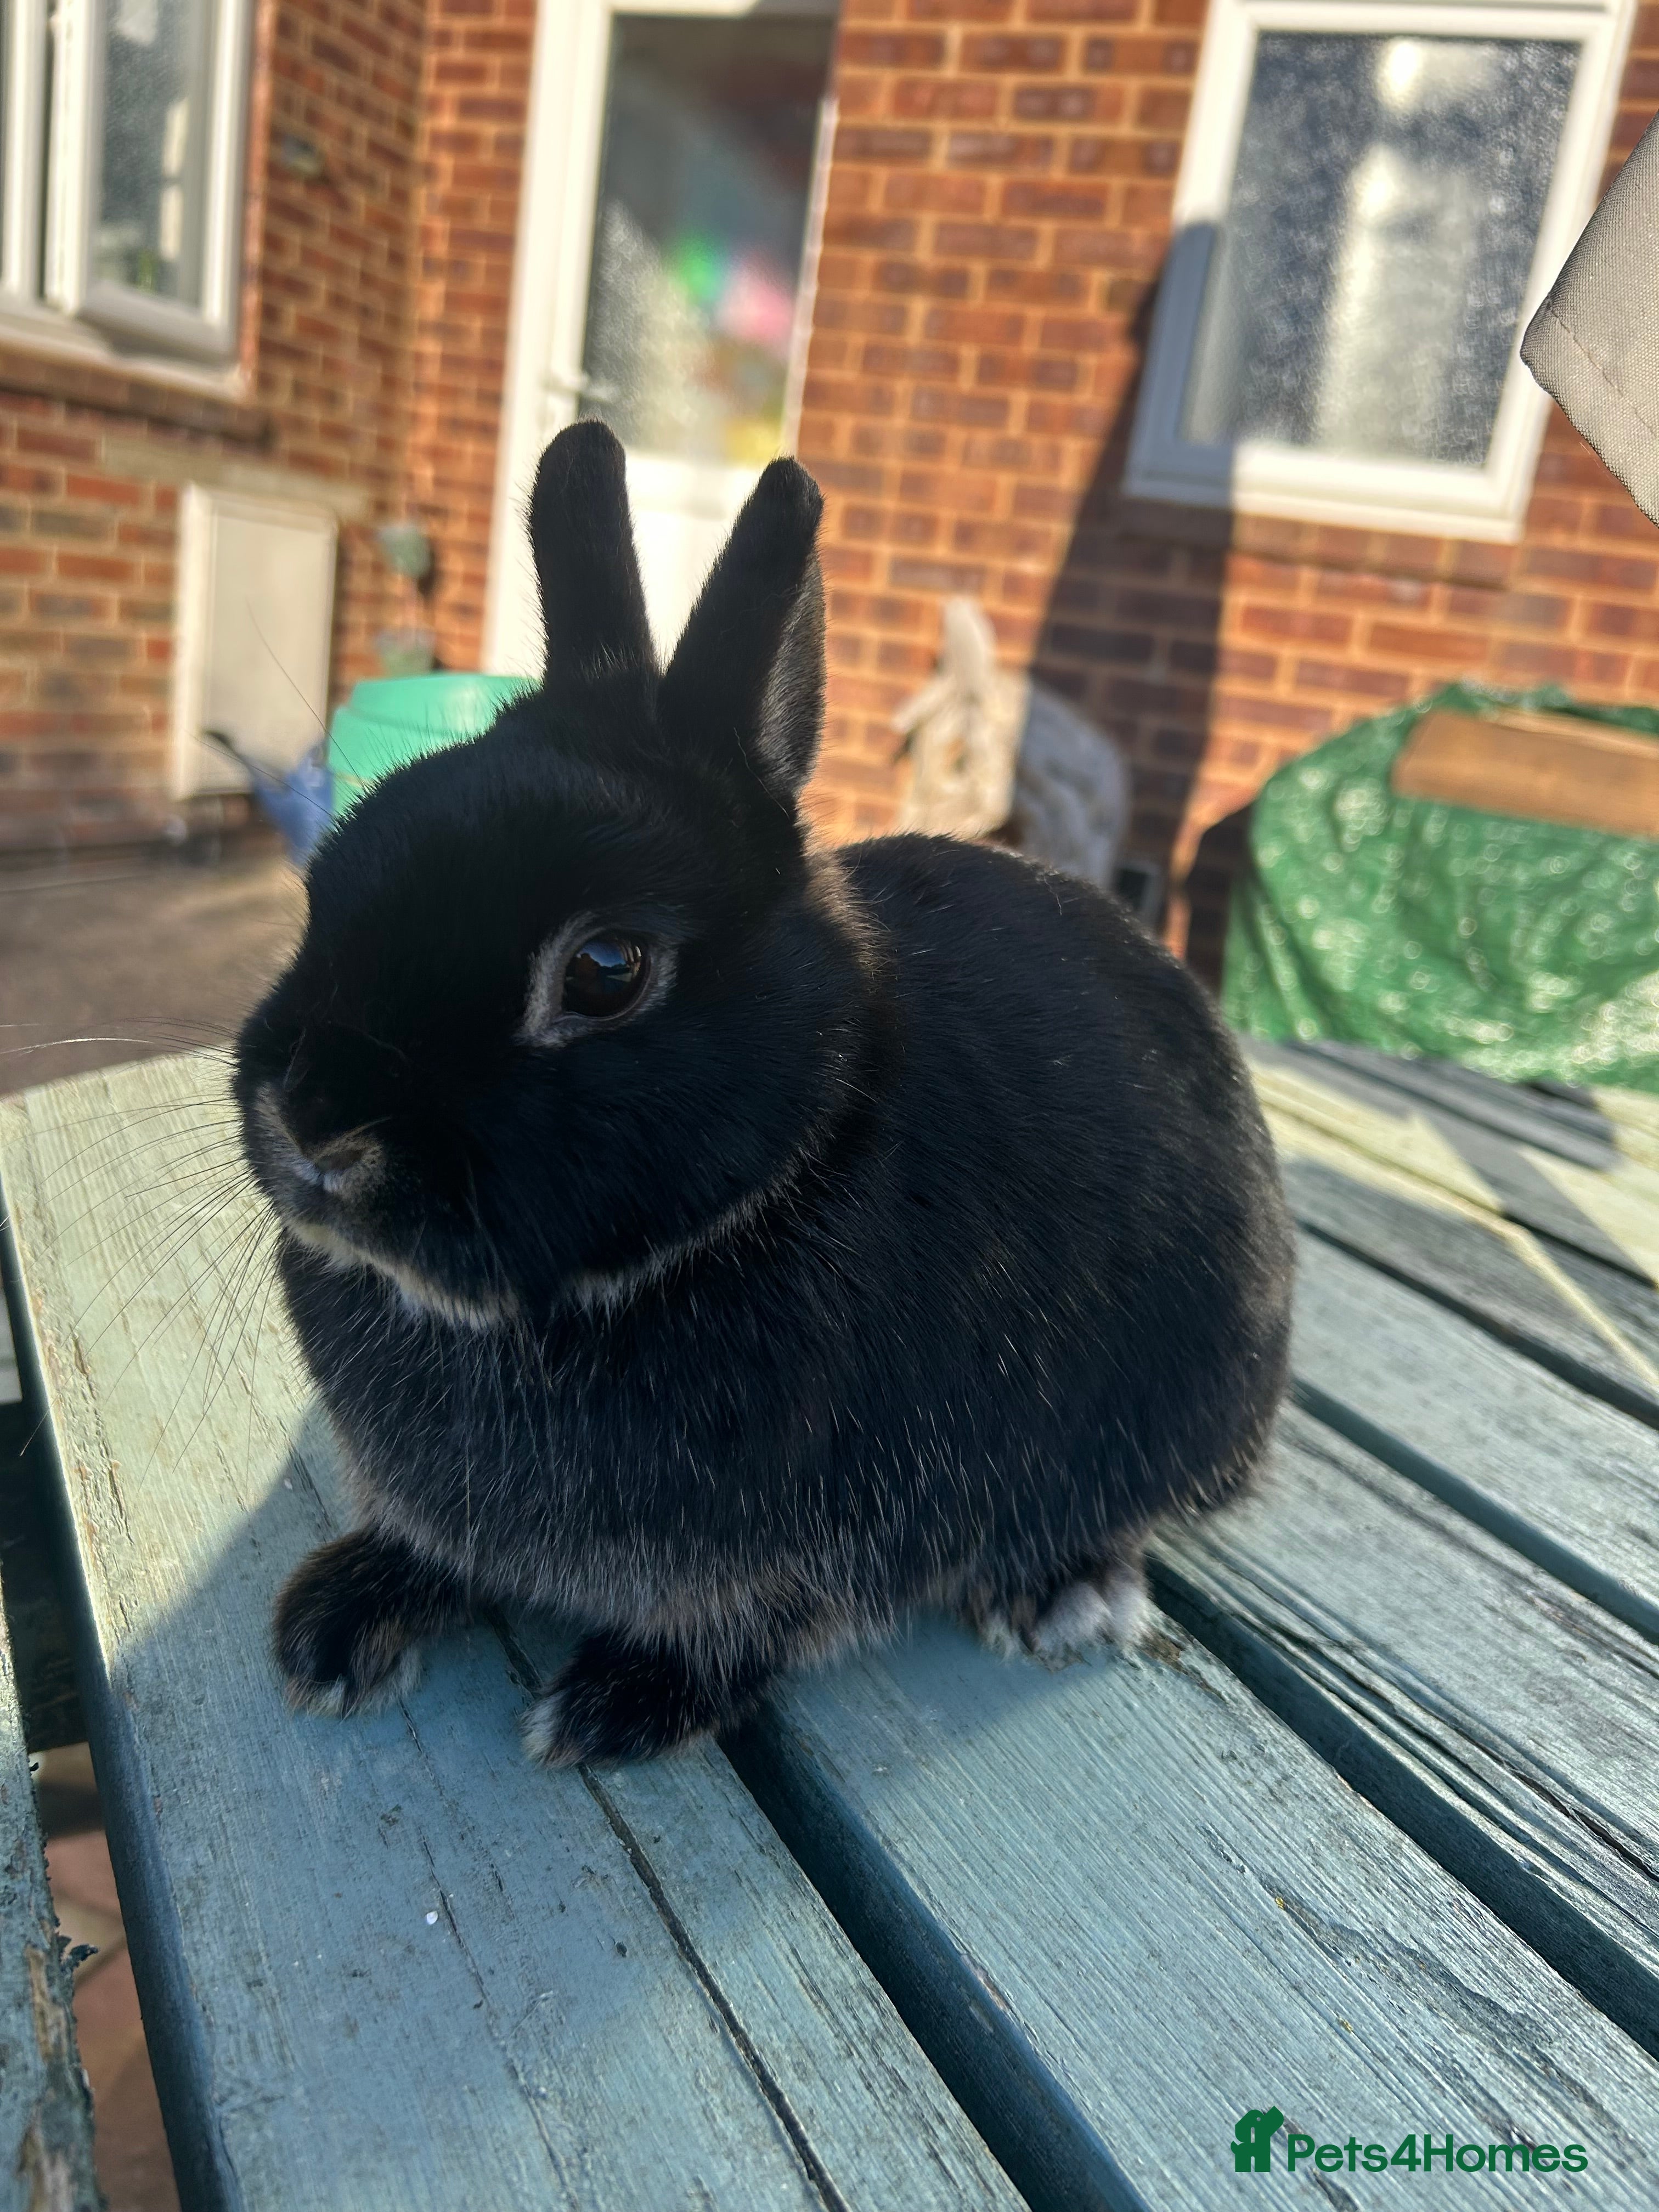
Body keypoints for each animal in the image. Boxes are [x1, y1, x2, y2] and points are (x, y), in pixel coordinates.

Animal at [236, 419, 1295, 1767]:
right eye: (331, 872)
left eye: (606, 970)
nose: (314, 1128)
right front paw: (339, 1619)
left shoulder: (823, 1549)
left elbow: (752, 1632)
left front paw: (615, 1707)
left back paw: (1062, 1591)